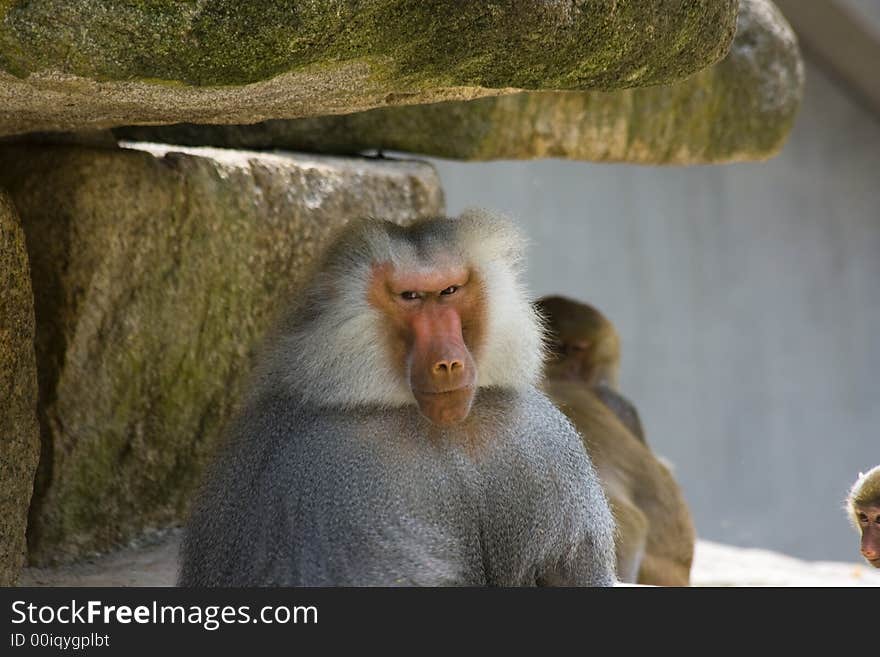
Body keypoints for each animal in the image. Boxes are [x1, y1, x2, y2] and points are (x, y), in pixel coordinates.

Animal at [179, 210, 616, 584]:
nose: (447, 363)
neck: (429, 425)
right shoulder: (333, 476)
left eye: (450, 290)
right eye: (410, 297)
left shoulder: (537, 438)